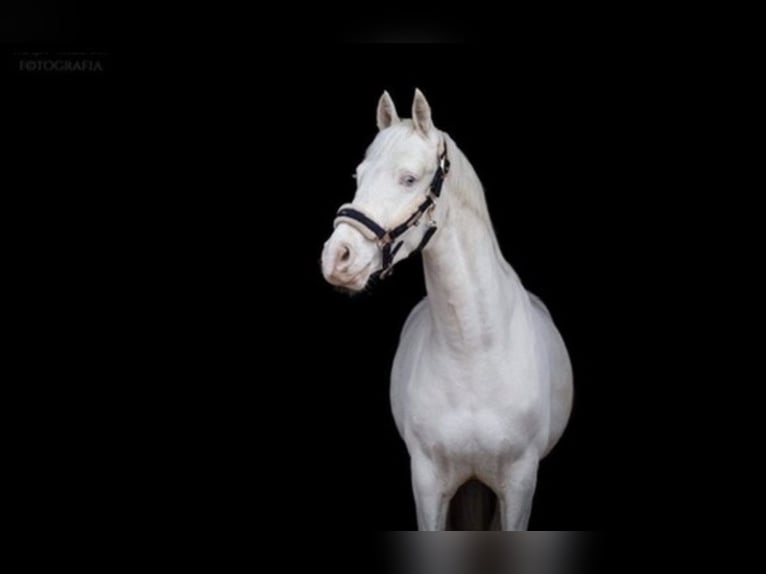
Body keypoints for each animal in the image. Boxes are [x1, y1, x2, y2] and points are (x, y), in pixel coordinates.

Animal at [321, 89, 573, 530]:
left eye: (408, 178)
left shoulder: (519, 483)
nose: (337, 257)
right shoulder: (426, 481)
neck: (473, 349)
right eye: (359, 175)